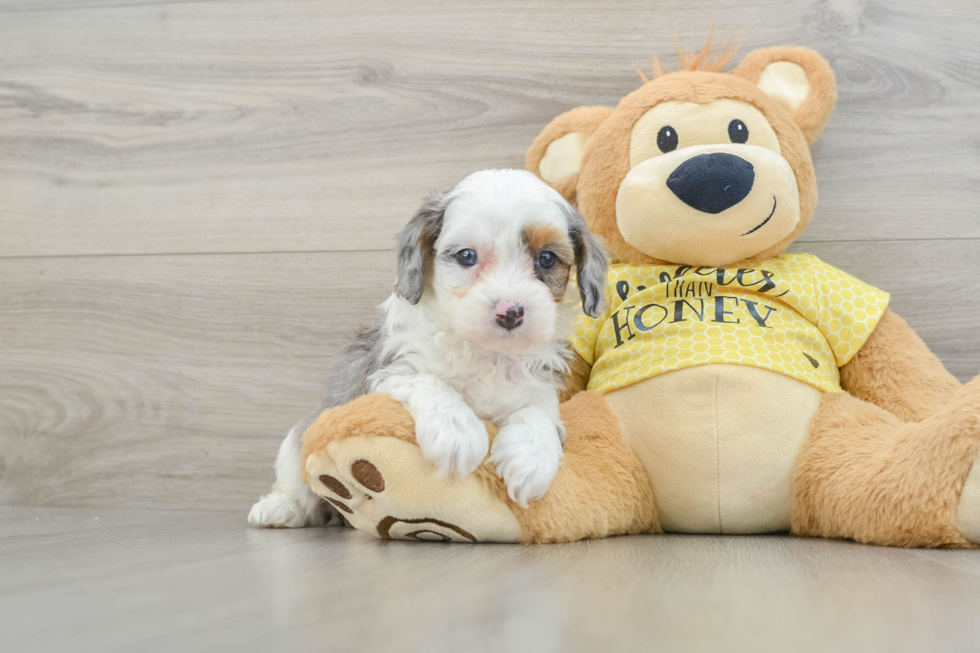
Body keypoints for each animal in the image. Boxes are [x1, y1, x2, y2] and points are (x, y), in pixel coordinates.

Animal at [247, 168, 604, 524]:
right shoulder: (385, 375)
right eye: (466, 256)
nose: (511, 312)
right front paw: (457, 431)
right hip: (299, 442)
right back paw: (278, 508)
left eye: (547, 259)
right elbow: (428, 381)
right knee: (296, 483)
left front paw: (531, 458)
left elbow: (538, 414)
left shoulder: (538, 391)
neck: (485, 353)